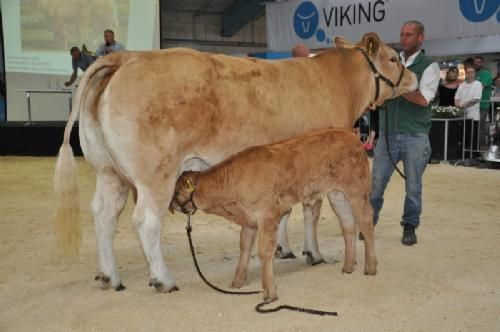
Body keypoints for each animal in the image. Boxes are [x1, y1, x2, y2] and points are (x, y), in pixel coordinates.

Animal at [52, 32, 416, 292]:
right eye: (393, 57)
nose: (412, 78)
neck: (337, 81)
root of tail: (128, 57)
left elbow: (285, 212)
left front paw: (283, 248)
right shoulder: (314, 165)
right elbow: (311, 210)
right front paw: (312, 253)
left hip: (108, 171)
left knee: (103, 214)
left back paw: (109, 276)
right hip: (154, 176)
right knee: (146, 220)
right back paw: (163, 279)